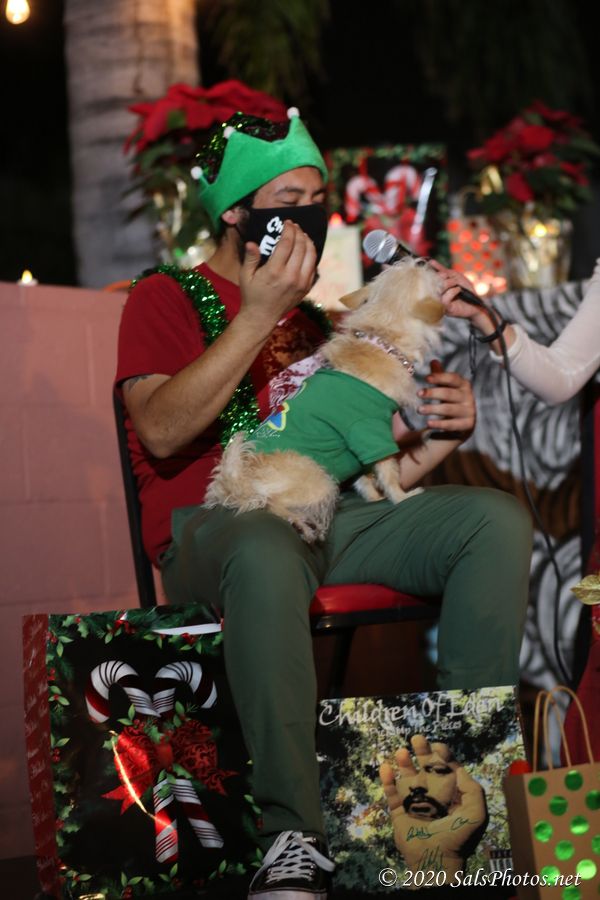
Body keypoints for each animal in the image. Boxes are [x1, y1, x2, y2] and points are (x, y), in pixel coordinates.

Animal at [204, 257, 445, 542]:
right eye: (422, 270)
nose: (425, 259)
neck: (381, 339)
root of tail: (234, 483)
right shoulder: (371, 432)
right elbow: (389, 472)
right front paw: (402, 497)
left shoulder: (357, 449)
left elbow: (364, 478)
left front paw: (374, 500)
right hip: (319, 480)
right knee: (268, 502)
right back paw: (298, 522)